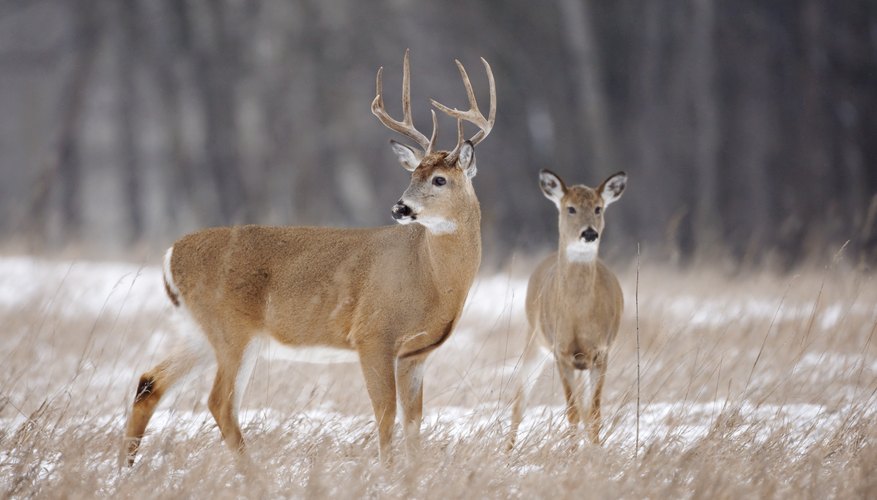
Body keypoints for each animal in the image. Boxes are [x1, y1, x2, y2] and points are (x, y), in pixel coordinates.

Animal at [123, 50, 496, 464]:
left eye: (439, 179)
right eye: (412, 174)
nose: (399, 208)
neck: (431, 278)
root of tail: (171, 255)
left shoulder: (416, 354)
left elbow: (413, 423)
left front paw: (413, 472)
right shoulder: (372, 334)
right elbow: (385, 416)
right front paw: (387, 471)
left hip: (198, 330)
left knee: (150, 382)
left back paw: (126, 469)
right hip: (232, 328)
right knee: (220, 402)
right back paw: (253, 474)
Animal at [510, 169, 628, 450]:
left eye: (598, 208)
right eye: (571, 208)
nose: (589, 233)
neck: (577, 315)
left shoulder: (601, 351)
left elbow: (593, 413)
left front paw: (594, 452)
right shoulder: (560, 351)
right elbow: (572, 411)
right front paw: (573, 454)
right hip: (534, 339)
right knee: (519, 403)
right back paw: (507, 451)